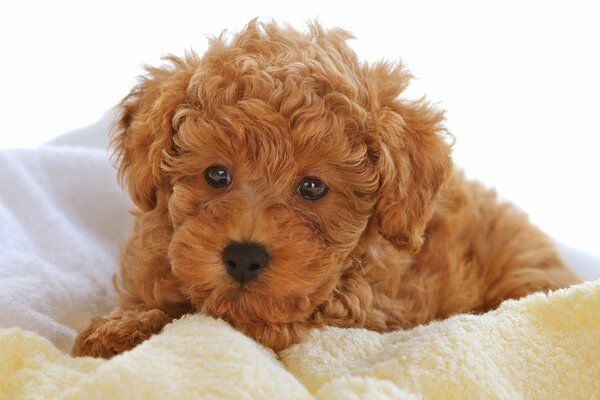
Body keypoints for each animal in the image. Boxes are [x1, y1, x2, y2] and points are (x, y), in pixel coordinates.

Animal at [72, 21, 580, 360]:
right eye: (216, 175)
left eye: (313, 187)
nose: (244, 257)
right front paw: (120, 327)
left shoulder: (358, 308)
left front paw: (135, 327)